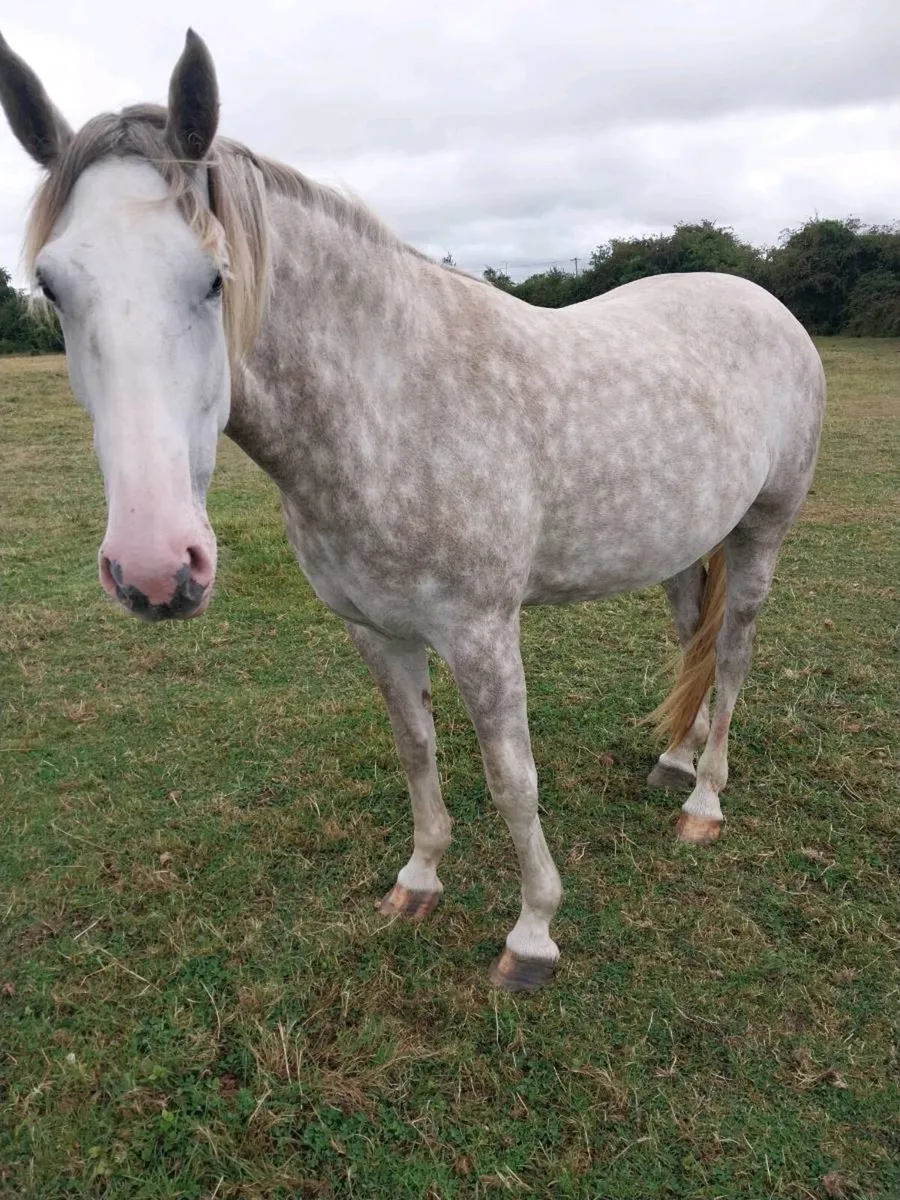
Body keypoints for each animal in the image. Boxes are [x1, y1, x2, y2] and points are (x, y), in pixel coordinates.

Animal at [0, 29, 825, 991]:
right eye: (53, 286)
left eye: (213, 278)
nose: (156, 569)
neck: (390, 406)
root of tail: (763, 300)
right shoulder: (374, 628)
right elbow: (416, 749)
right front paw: (419, 880)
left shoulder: (481, 632)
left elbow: (513, 780)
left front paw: (532, 935)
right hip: (685, 545)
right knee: (694, 636)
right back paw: (674, 759)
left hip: (763, 531)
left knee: (731, 655)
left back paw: (705, 800)